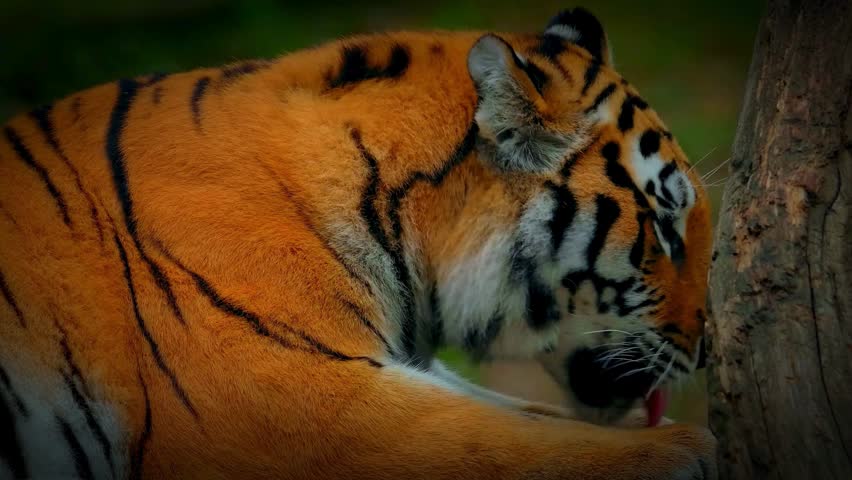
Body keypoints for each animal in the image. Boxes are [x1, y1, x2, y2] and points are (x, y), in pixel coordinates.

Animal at [0, 7, 716, 480]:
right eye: (665, 228)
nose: (709, 347)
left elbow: (529, 418)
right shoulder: (298, 403)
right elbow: (508, 445)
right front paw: (690, 449)